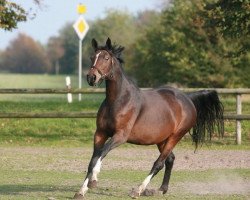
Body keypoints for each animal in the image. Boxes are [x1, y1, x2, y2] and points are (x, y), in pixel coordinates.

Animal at [73, 37, 224, 198]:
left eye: (106, 58)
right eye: (92, 57)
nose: (91, 78)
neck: (118, 100)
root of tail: (187, 98)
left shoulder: (120, 136)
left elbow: (101, 154)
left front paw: (92, 181)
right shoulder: (100, 133)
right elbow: (93, 159)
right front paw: (82, 190)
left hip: (175, 137)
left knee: (159, 163)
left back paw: (138, 190)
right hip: (162, 139)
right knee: (170, 159)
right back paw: (161, 189)